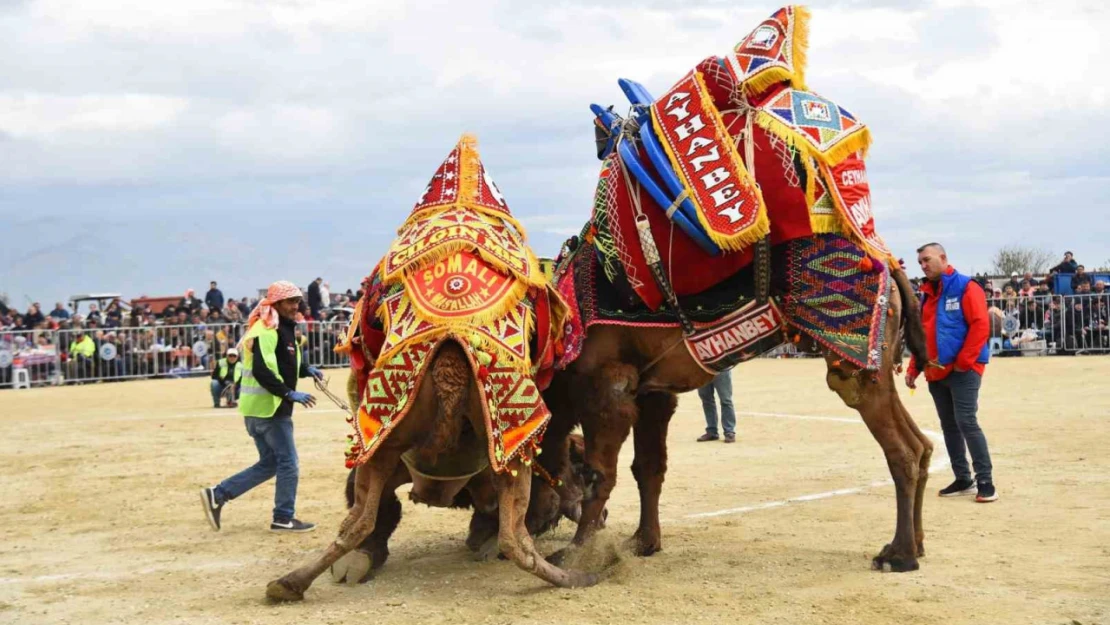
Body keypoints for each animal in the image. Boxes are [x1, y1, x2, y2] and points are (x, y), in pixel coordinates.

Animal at [550, 267, 932, 572]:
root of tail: (895, 271)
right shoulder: (651, 392)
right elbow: (647, 468)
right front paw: (643, 542)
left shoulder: (605, 385)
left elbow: (598, 475)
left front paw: (574, 555)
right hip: (879, 364)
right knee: (922, 444)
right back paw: (915, 544)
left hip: (854, 354)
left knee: (900, 449)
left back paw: (899, 556)